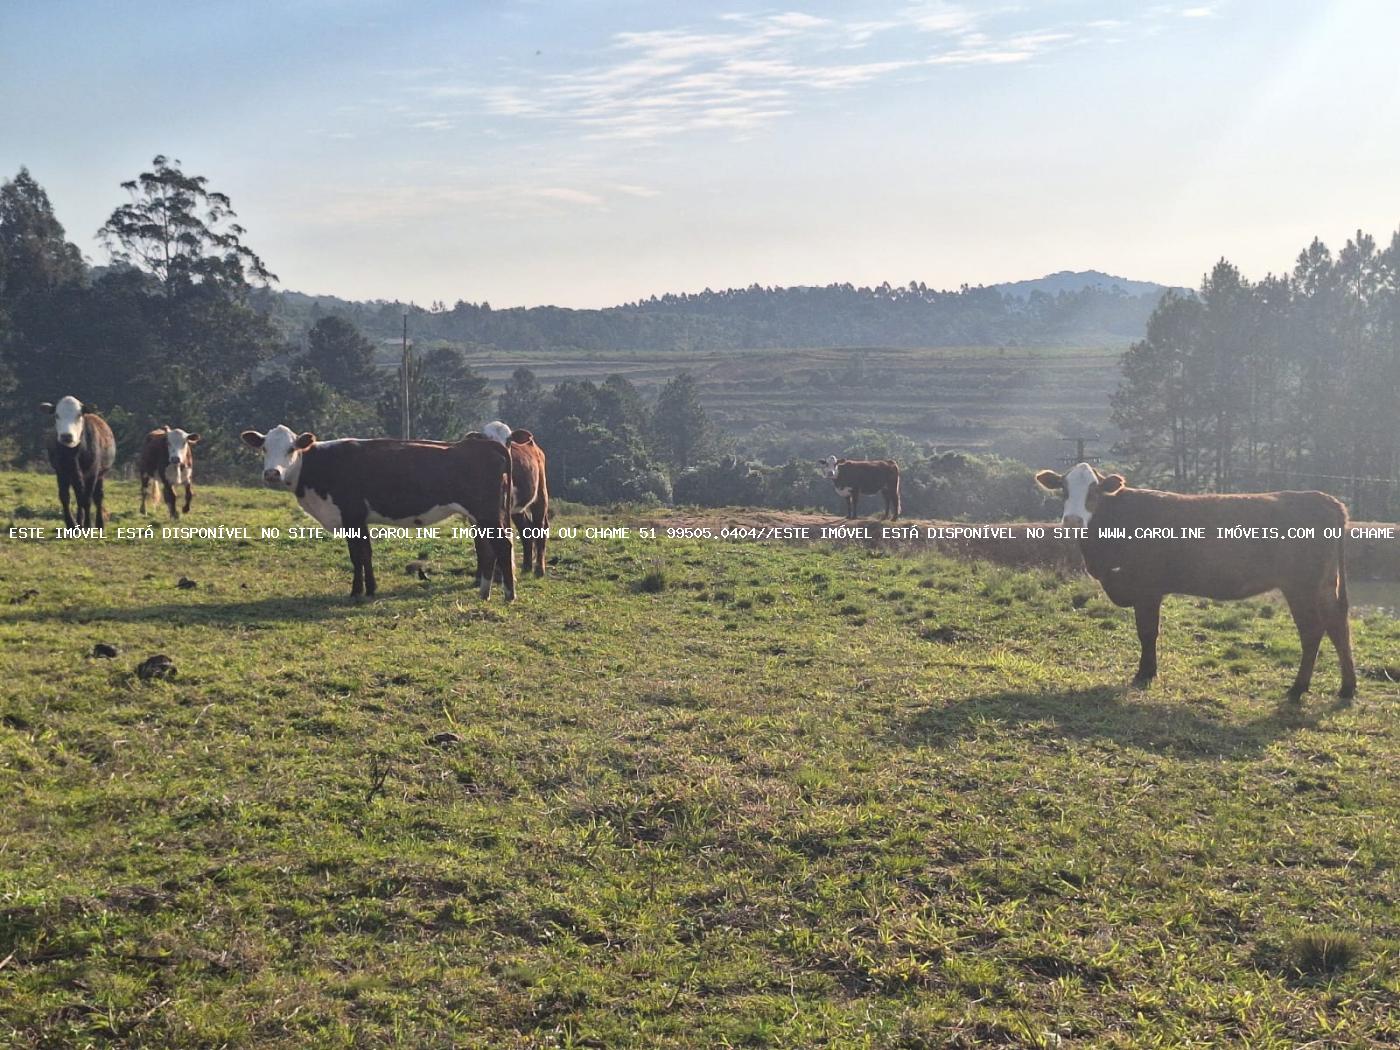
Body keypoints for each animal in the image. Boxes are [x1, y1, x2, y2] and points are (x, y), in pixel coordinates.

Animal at [39, 394, 114, 529]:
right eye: (56, 415)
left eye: (79, 415)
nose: (66, 436)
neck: (72, 455)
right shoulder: (61, 472)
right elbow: (65, 497)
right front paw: (71, 525)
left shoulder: (92, 473)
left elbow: (87, 499)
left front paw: (88, 525)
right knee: (79, 497)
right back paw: (79, 522)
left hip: (100, 475)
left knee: (97, 497)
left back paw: (99, 523)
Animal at [240, 425, 515, 599]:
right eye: (264, 449)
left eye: (291, 449)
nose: (272, 474)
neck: (319, 464)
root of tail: (484, 445)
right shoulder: (359, 520)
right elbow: (366, 554)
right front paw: (370, 588)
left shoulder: (350, 516)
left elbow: (357, 556)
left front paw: (356, 592)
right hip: (482, 517)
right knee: (488, 548)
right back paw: (484, 592)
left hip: (487, 514)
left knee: (502, 545)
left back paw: (508, 594)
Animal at [1041, 464, 1355, 702]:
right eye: (1064, 489)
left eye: (1094, 491)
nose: (1072, 521)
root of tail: (1327, 501)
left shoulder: (1147, 589)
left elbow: (1147, 632)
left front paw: (1144, 673)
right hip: (1325, 586)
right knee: (1338, 627)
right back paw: (1347, 688)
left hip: (1301, 587)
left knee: (1313, 630)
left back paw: (1298, 689)